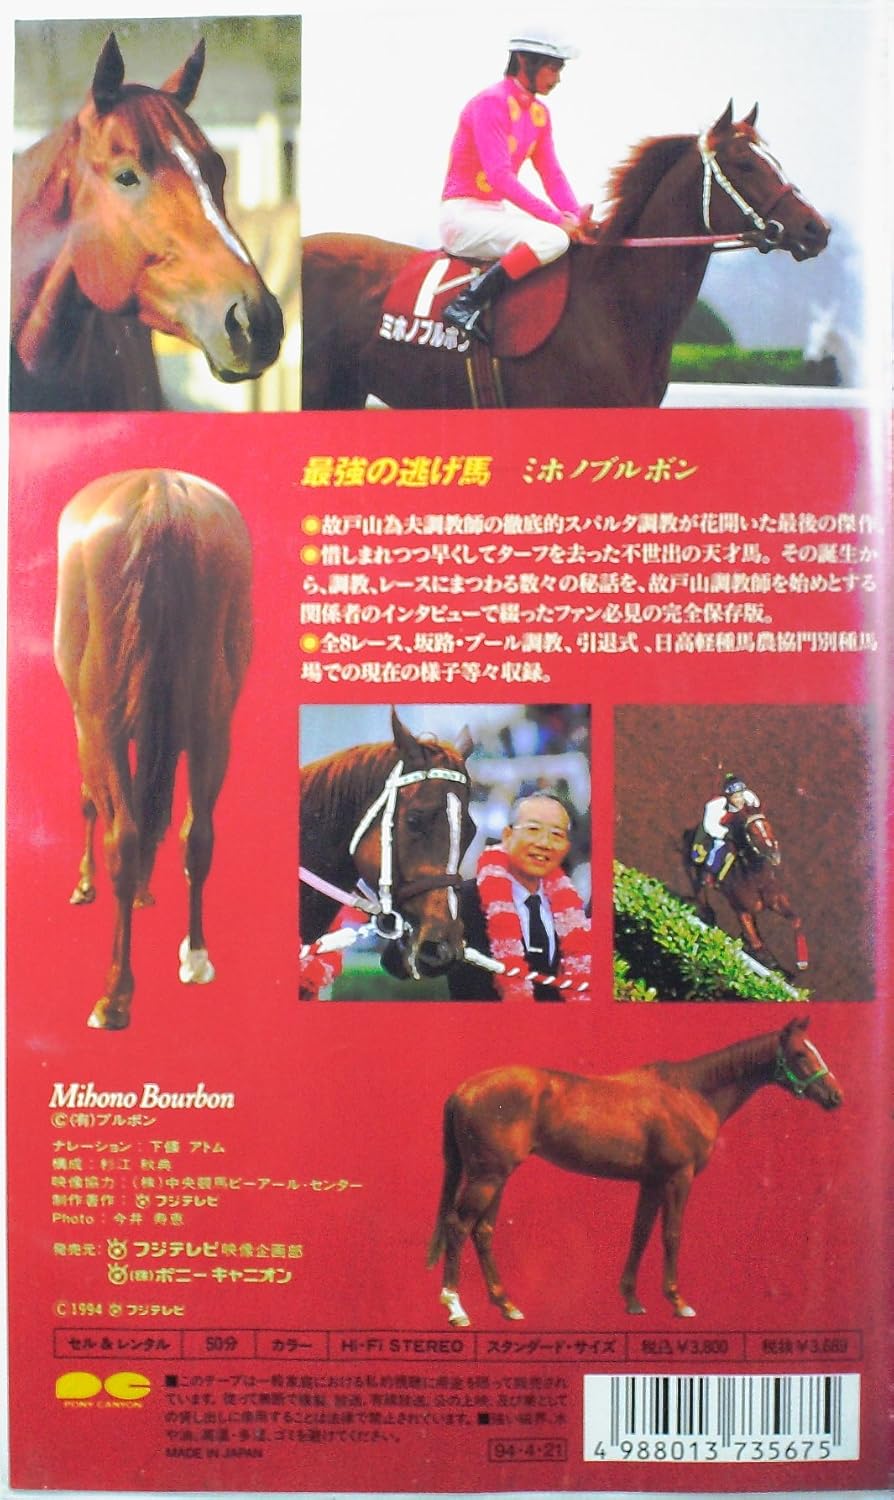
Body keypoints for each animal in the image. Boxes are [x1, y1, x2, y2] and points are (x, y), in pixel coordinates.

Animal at [54, 469, 252, 1029]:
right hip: (213, 723)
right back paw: (196, 956)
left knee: (122, 835)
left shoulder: (88, 726)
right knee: (198, 834)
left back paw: (114, 995)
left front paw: (85, 886)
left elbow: (95, 805)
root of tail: (158, 491)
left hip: (101, 724)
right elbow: (158, 813)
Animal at [428, 1016, 841, 1328]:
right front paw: (678, 1301)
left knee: (483, 1232)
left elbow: (640, 1234)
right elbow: (672, 1235)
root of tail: (463, 1091)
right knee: (459, 1227)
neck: (692, 1092)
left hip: (495, 1178)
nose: (835, 1097)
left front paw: (631, 1300)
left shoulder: (652, 1182)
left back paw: (507, 1306)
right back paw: (456, 1307)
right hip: (487, 1178)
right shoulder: (678, 1178)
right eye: (801, 1053)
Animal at [685, 806, 808, 973]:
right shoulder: (741, 909)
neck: (757, 880)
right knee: (700, 892)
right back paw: (707, 913)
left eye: (768, 826)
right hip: (694, 869)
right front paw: (764, 957)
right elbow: (756, 941)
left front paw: (801, 960)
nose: (774, 855)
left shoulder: (775, 901)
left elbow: (796, 920)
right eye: (753, 832)